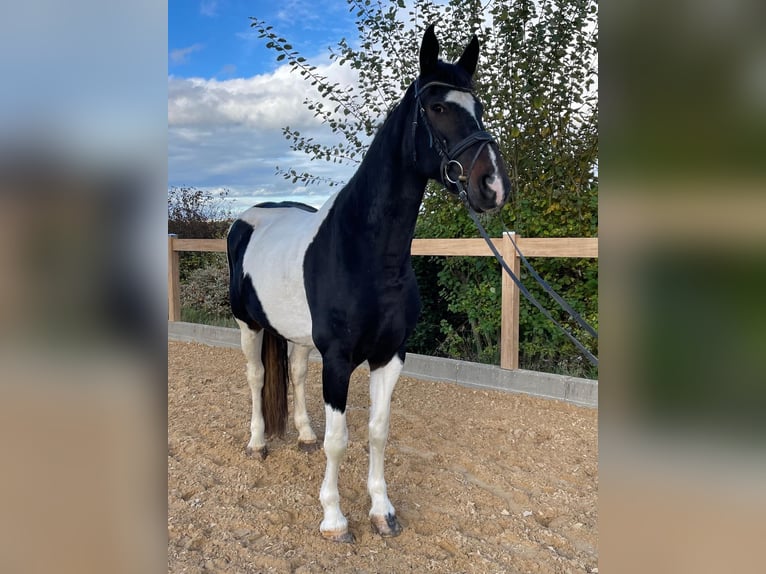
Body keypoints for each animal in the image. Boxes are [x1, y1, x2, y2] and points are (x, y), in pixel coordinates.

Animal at [226, 24, 511, 543]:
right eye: (437, 107)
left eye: (478, 107)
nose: (493, 185)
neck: (367, 254)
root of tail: (249, 218)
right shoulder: (339, 359)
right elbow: (340, 440)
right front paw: (334, 519)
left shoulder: (391, 354)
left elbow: (378, 431)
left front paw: (382, 511)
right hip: (248, 325)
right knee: (256, 377)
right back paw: (257, 443)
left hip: (296, 336)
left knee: (294, 374)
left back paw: (302, 434)